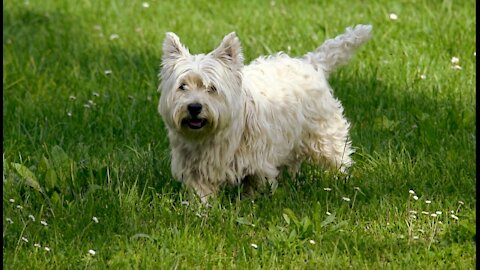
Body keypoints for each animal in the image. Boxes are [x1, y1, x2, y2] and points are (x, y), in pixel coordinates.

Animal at [158, 24, 372, 202]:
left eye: (211, 88)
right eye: (182, 86)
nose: (194, 107)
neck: (211, 138)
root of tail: (310, 63)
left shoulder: (259, 163)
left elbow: (257, 186)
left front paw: (253, 204)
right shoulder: (195, 169)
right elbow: (201, 194)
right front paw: (200, 211)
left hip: (323, 135)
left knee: (337, 157)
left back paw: (339, 181)